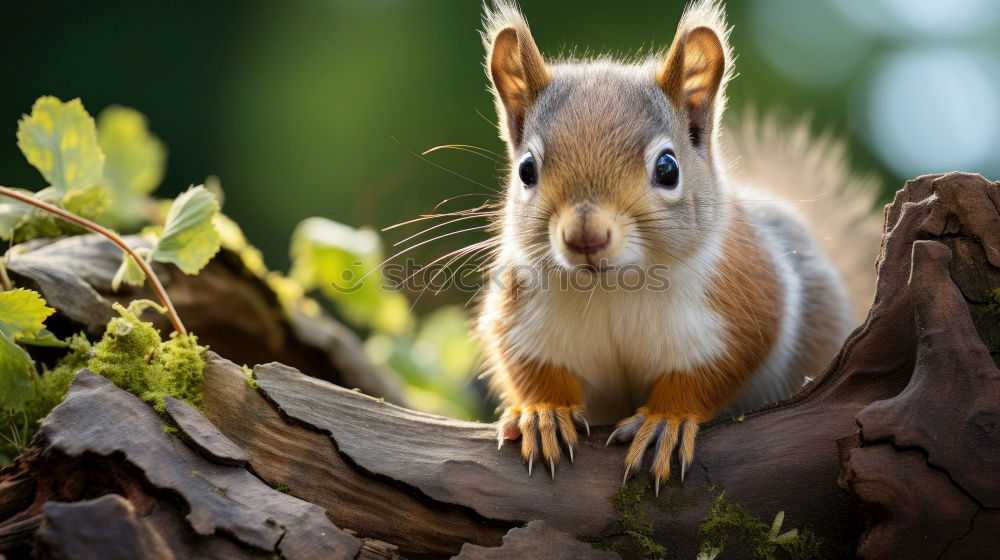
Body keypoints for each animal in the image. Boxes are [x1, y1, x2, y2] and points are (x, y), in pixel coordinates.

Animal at [472, 0, 880, 494]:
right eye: (526, 170)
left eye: (668, 168)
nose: (586, 237)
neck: (613, 289)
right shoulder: (522, 315)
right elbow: (530, 366)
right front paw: (543, 413)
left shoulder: (742, 309)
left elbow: (710, 371)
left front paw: (666, 420)